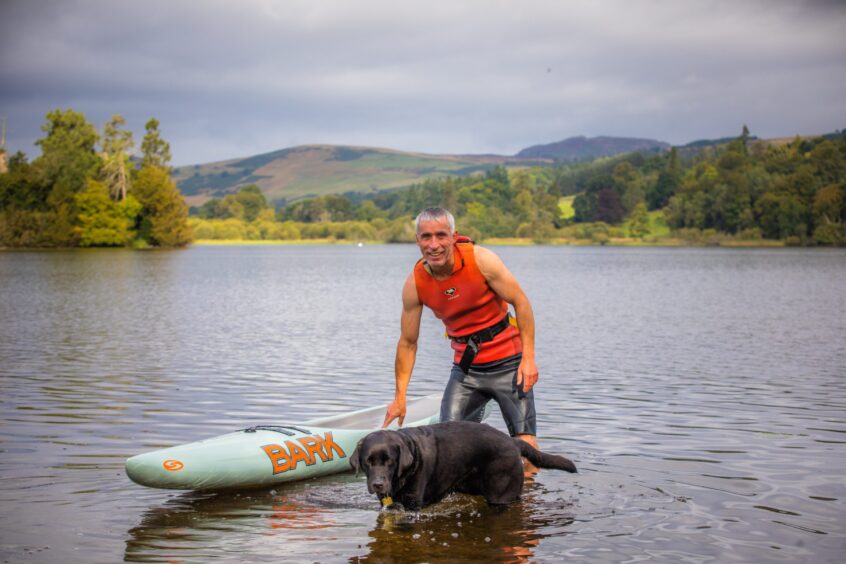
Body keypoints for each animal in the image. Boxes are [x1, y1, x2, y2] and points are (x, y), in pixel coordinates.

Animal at [350, 418, 576, 512]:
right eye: (368, 462)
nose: (378, 484)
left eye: (389, 461)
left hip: (501, 493)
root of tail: (512, 441)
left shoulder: (413, 504)